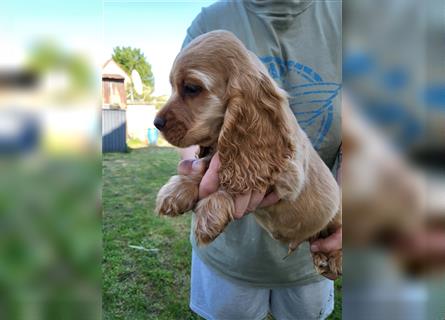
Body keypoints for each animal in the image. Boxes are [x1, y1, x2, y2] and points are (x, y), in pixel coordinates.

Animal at [153, 31, 340, 278]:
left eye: (192, 88)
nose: (156, 123)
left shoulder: (285, 175)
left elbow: (235, 181)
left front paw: (209, 214)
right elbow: (208, 166)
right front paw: (177, 190)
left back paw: (332, 259)